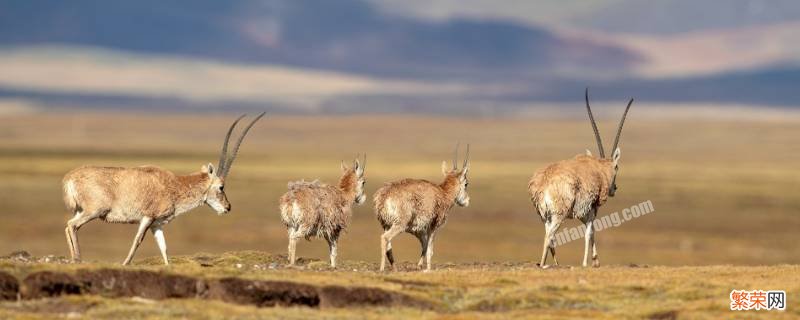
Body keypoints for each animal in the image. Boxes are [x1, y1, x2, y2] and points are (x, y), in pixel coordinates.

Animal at [61, 112, 266, 264]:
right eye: (221, 187)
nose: (228, 207)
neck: (174, 184)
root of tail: (70, 177)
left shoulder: (157, 225)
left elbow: (164, 248)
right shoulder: (148, 218)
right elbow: (138, 240)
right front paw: (125, 264)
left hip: (82, 211)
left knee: (68, 226)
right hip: (94, 211)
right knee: (72, 226)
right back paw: (78, 259)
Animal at [528, 90, 636, 268]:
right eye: (616, 167)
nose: (614, 188)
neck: (599, 169)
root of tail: (543, 184)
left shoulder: (582, 214)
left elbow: (592, 231)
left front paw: (596, 260)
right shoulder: (591, 208)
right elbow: (589, 232)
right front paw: (586, 262)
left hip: (545, 216)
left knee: (550, 236)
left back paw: (555, 263)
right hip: (559, 214)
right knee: (549, 236)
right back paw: (543, 264)